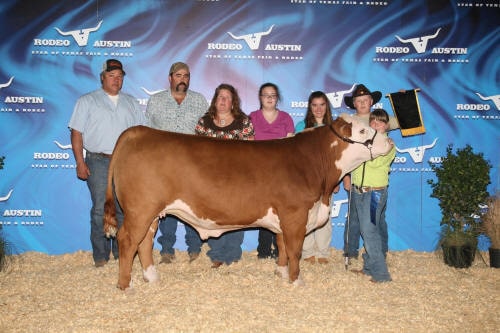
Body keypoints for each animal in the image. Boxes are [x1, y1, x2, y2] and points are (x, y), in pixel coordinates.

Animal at [103, 116, 392, 288]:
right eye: (363, 129)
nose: (389, 140)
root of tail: (139, 132)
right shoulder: (296, 214)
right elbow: (295, 249)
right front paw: (296, 281)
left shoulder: (283, 217)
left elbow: (283, 247)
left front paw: (281, 273)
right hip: (140, 209)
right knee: (128, 240)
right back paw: (125, 285)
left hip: (152, 212)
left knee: (144, 242)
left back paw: (151, 277)